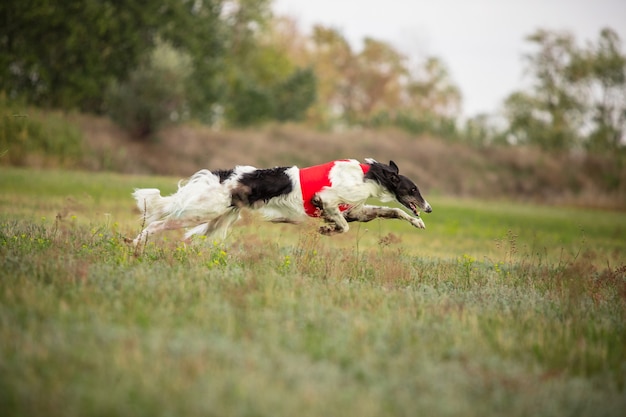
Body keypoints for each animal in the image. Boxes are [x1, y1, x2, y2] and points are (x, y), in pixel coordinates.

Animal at [129, 158, 432, 244]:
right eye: (414, 188)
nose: (428, 208)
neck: (367, 175)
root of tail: (222, 175)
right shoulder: (327, 199)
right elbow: (343, 226)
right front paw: (327, 229)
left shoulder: (357, 210)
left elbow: (391, 211)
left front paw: (417, 222)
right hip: (201, 211)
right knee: (156, 225)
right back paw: (135, 245)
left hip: (216, 220)